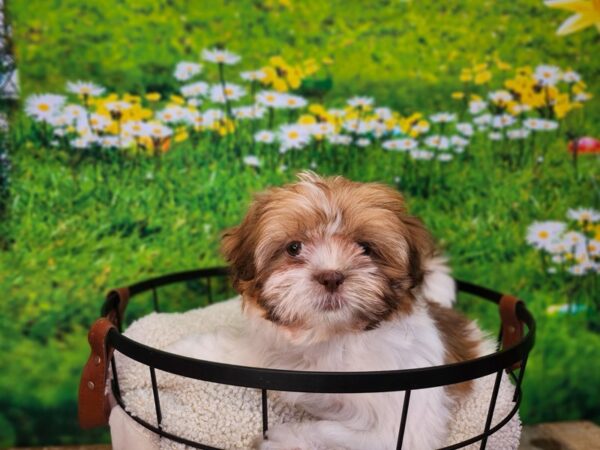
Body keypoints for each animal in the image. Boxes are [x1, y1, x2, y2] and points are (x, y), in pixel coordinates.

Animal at [169, 172, 488, 450]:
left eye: (365, 248)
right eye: (294, 248)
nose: (331, 276)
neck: (330, 338)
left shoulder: (404, 421)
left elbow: (341, 433)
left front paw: (282, 440)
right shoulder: (267, 355)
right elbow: (225, 352)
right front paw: (177, 359)